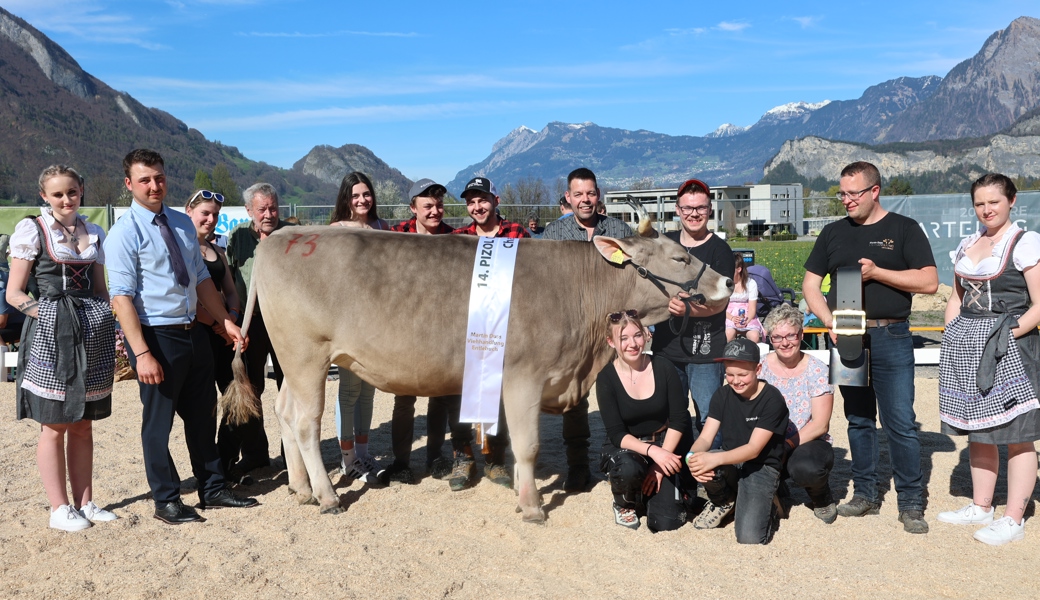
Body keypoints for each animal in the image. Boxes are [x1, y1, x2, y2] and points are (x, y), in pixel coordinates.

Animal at [221, 217, 732, 522]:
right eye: (680, 256)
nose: (730, 279)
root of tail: (282, 237)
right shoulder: (525, 376)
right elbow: (527, 446)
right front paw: (532, 506)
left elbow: (512, 445)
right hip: (306, 356)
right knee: (307, 422)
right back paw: (326, 497)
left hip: (292, 364)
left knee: (285, 414)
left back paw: (300, 488)